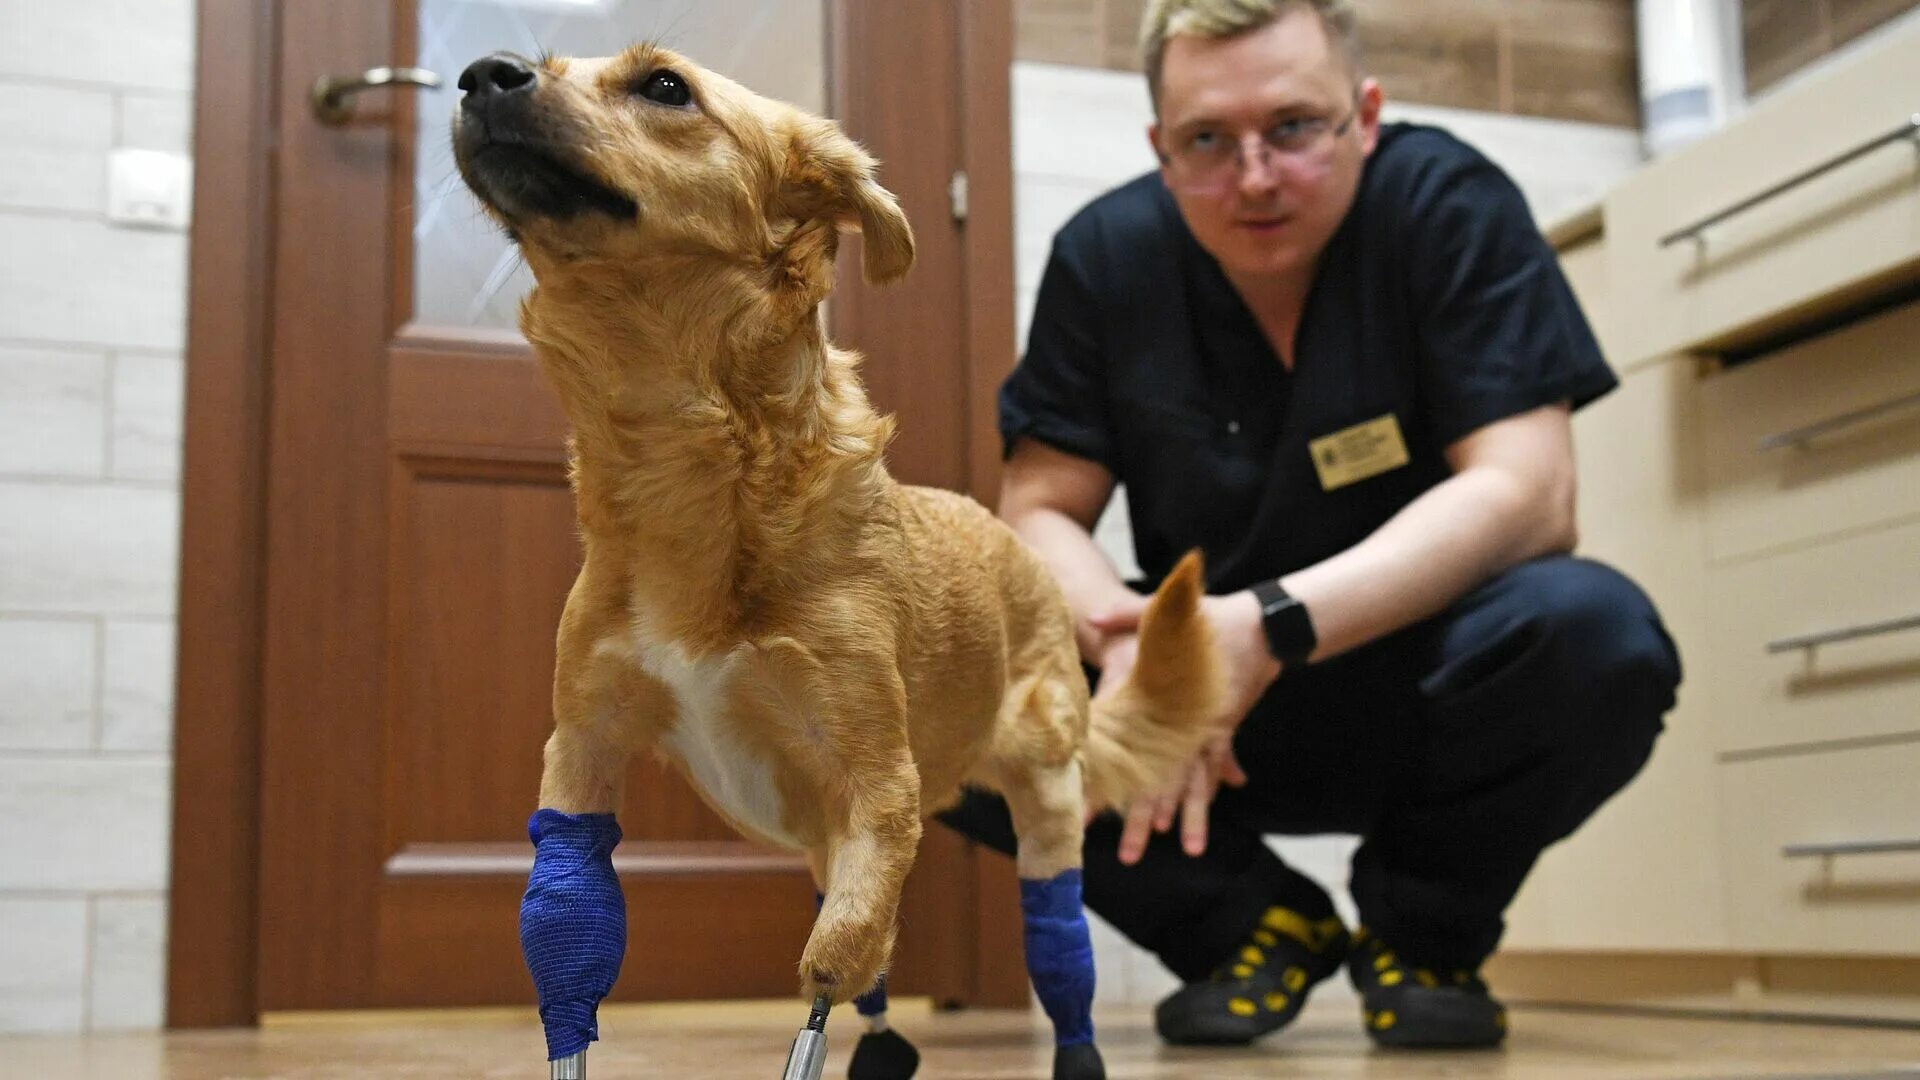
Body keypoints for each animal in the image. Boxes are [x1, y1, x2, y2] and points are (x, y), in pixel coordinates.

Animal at [453, 42, 1213, 1014]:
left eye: (665, 86)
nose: (482, 72)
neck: (681, 460)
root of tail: (1021, 549)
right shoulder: (583, 752)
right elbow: (569, 947)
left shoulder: (876, 786)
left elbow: (834, 964)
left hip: (1045, 802)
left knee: (1053, 951)